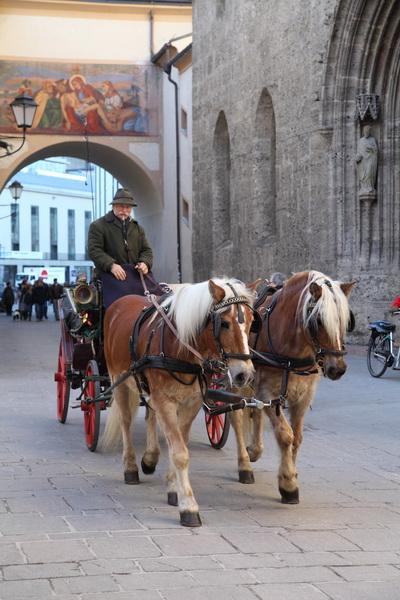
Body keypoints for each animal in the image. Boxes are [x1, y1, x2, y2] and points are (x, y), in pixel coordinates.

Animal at [101, 276, 256, 524]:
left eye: (251, 321)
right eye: (223, 323)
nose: (245, 374)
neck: (181, 348)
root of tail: (121, 301)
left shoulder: (191, 402)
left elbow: (179, 443)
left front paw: (173, 488)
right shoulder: (165, 400)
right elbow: (180, 452)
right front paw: (189, 507)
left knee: (150, 416)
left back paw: (150, 457)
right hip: (119, 381)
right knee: (125, 422)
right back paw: (131, 467)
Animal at [230, 270, 354, 504]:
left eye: (344, 320)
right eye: (318, 320)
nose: (338, 369)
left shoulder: (304, 397)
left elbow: (297, 438)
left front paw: (291, 474)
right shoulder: (269, 393)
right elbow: (285, 435)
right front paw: (288, 483)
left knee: (255, 414)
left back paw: (255, 450)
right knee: (237, 418)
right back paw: (244, 464)